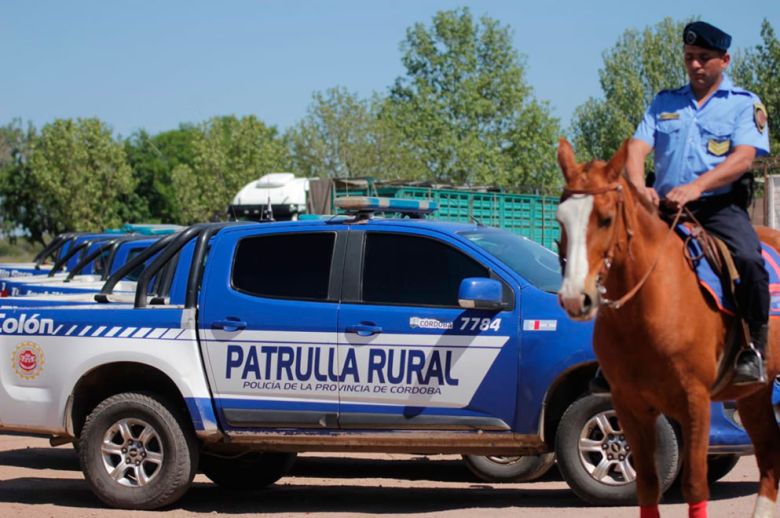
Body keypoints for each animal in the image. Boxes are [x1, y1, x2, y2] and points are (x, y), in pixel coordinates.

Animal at [556, 139, 776, 518]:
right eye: (561, 220)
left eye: (606, 219)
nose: (574, 298)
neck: (644, 310)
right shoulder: (628, 405)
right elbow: (647, 485)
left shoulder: (695, 402)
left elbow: (695, 485)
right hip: (754, 395)